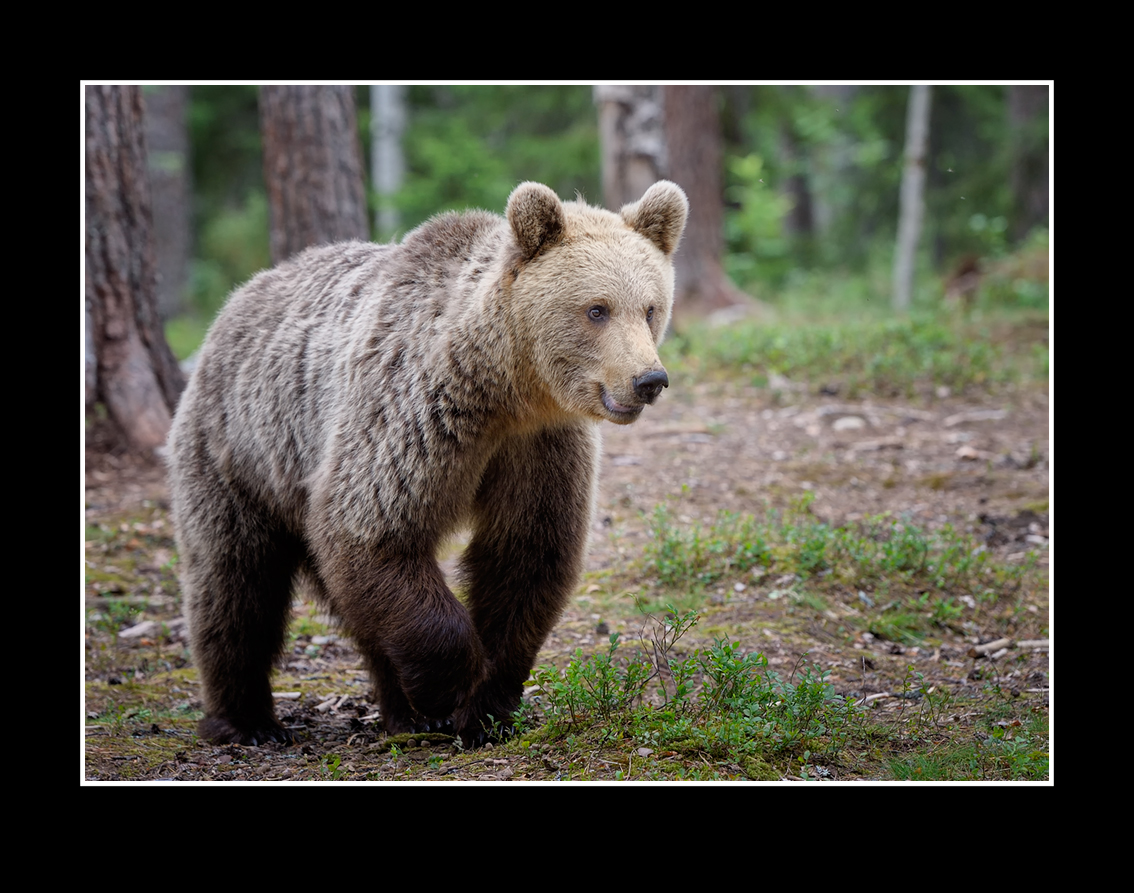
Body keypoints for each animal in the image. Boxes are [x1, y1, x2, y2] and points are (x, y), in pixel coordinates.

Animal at [164, 178, 684, 744]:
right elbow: (372, 530)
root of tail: (238, 298)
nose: (649, 380)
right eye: (597, 309)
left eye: (650, 308)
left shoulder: (539, 446)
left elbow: (527, 553)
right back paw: (248, 720)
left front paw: (485, 708)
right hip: (241, 452)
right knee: (235, 583)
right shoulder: (412, 417)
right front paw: (451, 685)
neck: (506, 390)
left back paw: (401, 711)